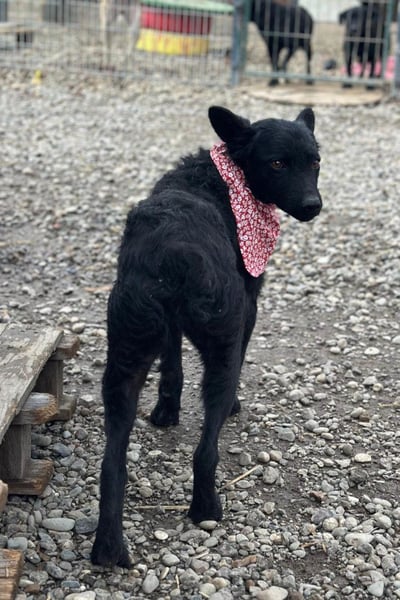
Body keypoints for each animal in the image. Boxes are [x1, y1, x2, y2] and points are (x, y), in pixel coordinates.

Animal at [91, 105, 322, 568]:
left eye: (315, 162)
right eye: (277, 163)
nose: (314, 206)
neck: (223, 176)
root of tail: (175, 251)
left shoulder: (169, 334)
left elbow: (172, 367)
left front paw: (166, 411)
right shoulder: (250, 306)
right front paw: (231, 405)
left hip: (124, 361)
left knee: (112, 465)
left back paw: (107, 547)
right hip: (222, 348)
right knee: (206, 449)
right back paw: (206, 509)